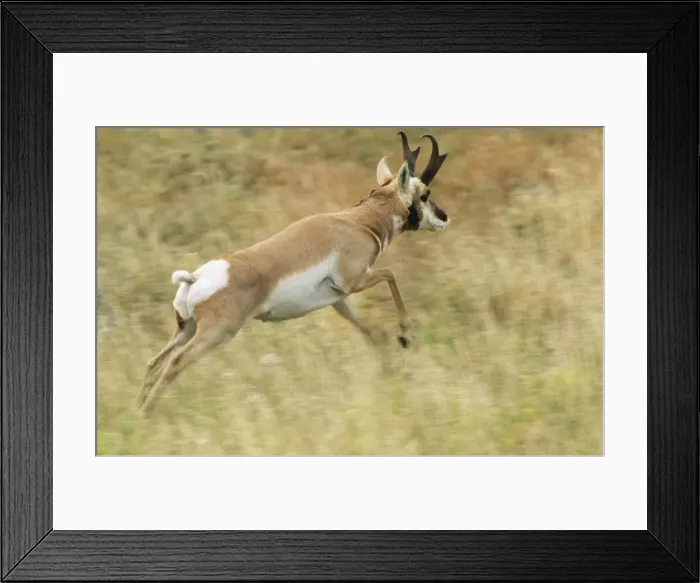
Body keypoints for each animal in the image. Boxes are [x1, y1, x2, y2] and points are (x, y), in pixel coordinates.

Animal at [136, 131, 449, 415]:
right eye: (425, 194)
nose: (444, 217)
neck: (358, 222)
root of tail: (196, 278)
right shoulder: (356, 280)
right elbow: (391, 274)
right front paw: (405, 335)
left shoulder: (339, 299)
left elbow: (371, 331)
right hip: (215, 334)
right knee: (174, 363)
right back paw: (147, 415)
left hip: (186, 328)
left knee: (153, 363)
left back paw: (137, 412)